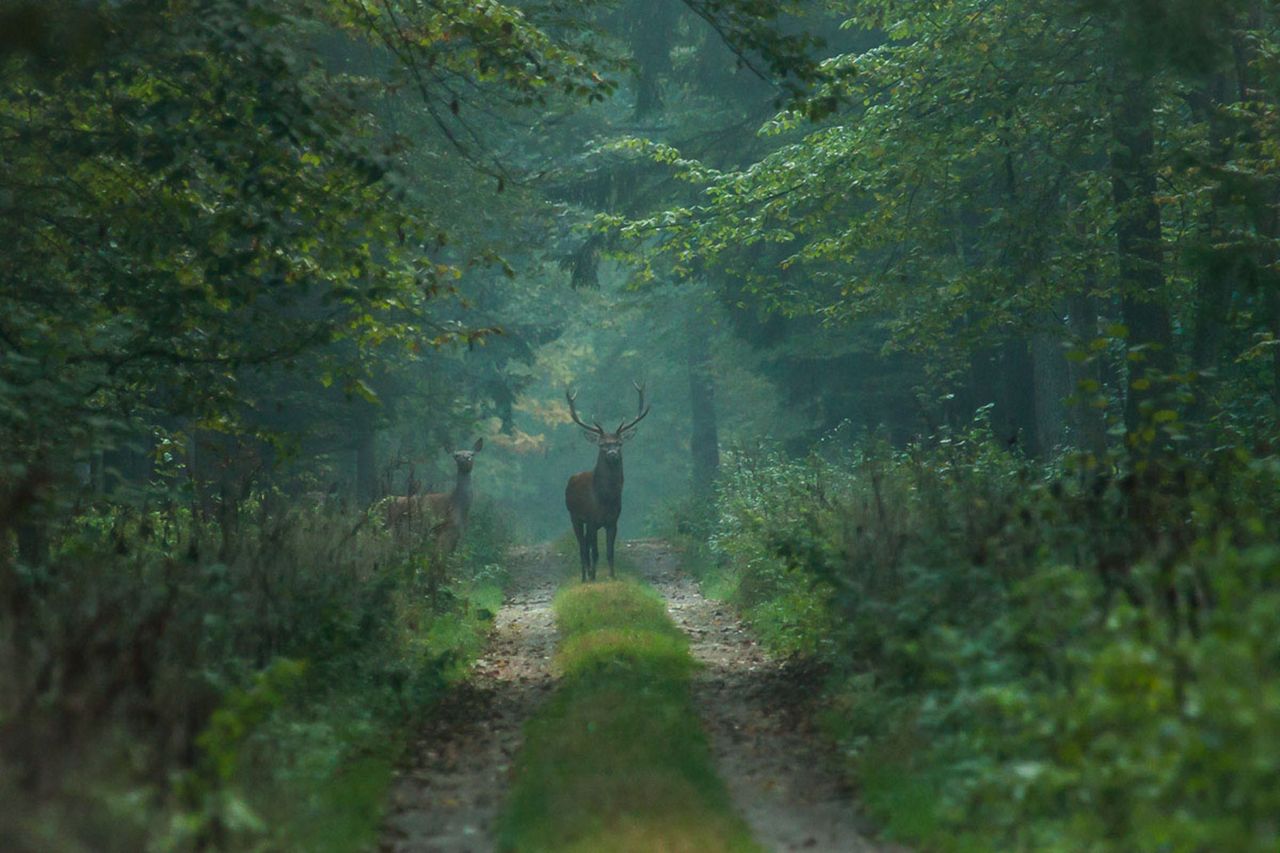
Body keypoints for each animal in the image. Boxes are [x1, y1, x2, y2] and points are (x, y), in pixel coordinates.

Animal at [565, 381, 650, 581]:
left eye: (619, 443)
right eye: (602, 445)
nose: (612, 454)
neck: (604, 499)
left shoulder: (613, 521)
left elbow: (610, 552)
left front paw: (612, 576)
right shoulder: (592, 519)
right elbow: (595, 552)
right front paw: (594, 578)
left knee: (586, 546)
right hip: (574, 516)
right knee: (583, 547)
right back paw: (584, 577)